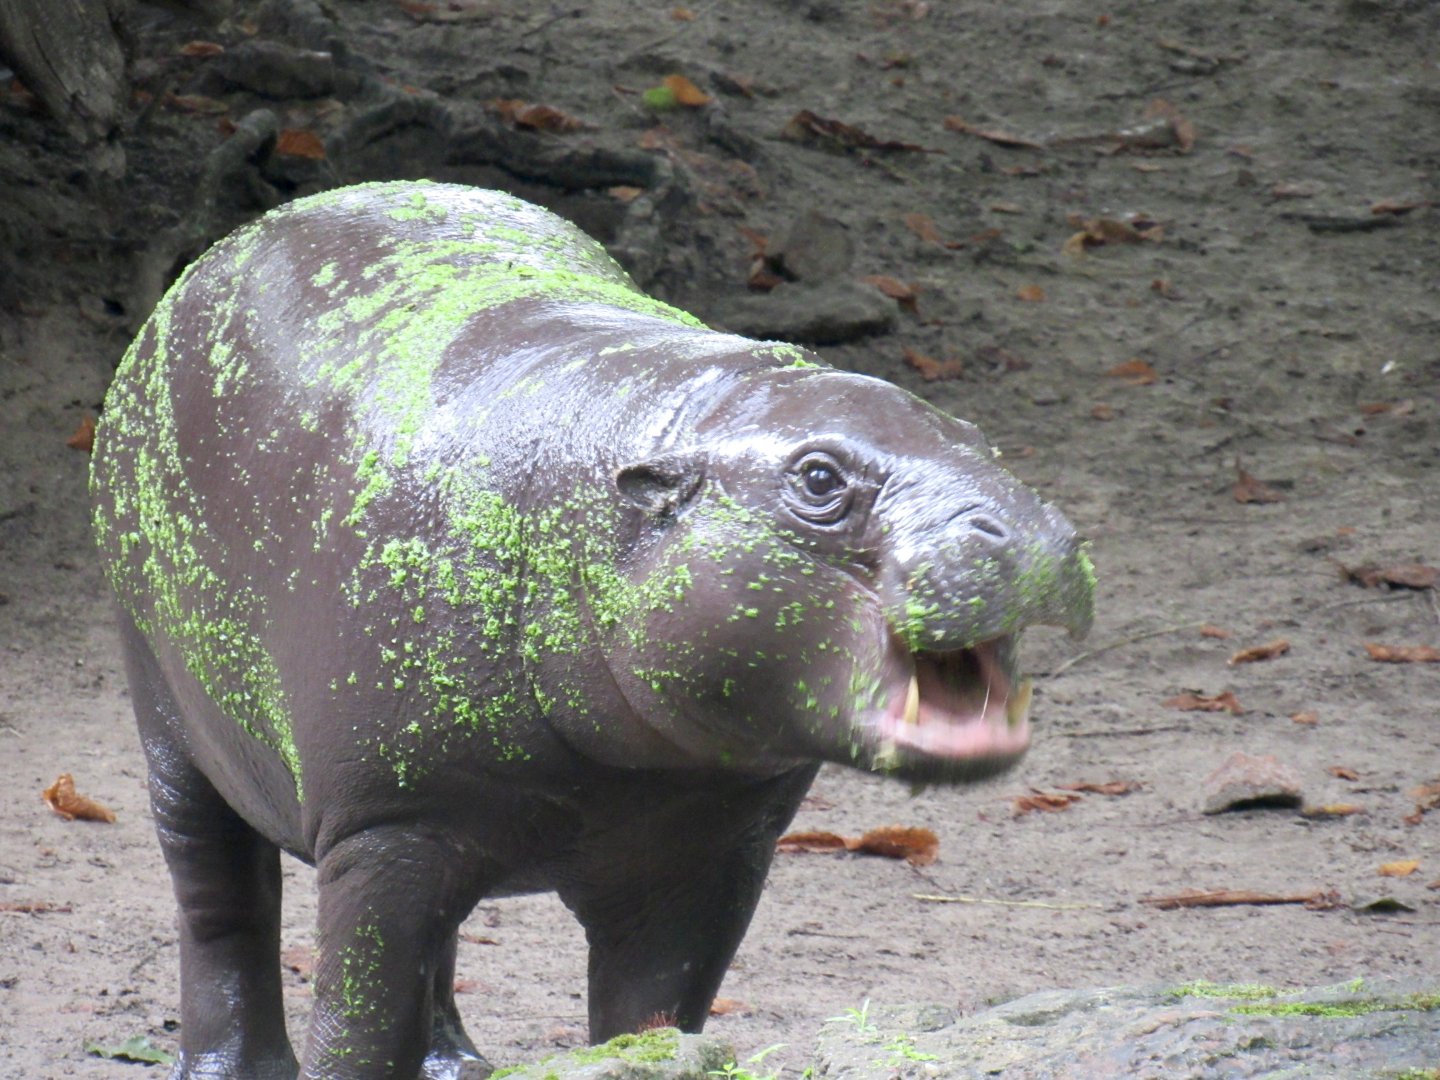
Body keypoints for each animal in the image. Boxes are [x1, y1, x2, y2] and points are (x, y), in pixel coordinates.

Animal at [91, 181, 1094, 1079]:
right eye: (818, 478)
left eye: (981, 439)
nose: (1030, 530)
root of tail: (229, 246)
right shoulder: (384, 831)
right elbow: (358, 1028)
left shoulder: (710, 855)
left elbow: (650, 1017)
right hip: (172, 723)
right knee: (221, 906)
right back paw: (234, 1065)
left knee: (438, 954)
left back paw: (461, 1067)